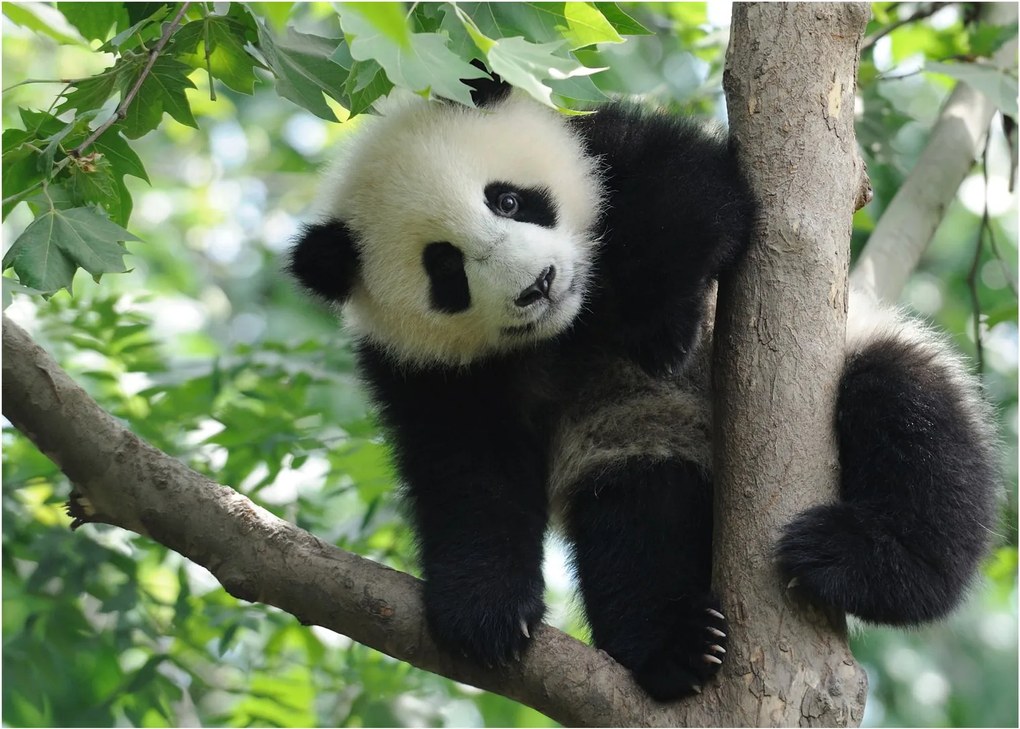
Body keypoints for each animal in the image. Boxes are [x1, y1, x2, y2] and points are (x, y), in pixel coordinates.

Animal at [288, 78, 1000, 701]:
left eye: (508, 200)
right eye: (446, 268)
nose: (539, 284)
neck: (568, 328)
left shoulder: (607, 145)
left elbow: (692, 190)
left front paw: (659, 328)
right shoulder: (425, 369)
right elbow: (467, 472)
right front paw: (484, 611)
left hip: (862, 358)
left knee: (910, 420)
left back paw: (863, 562)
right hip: (637, 442)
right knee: (637, 527)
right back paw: (676, 648)